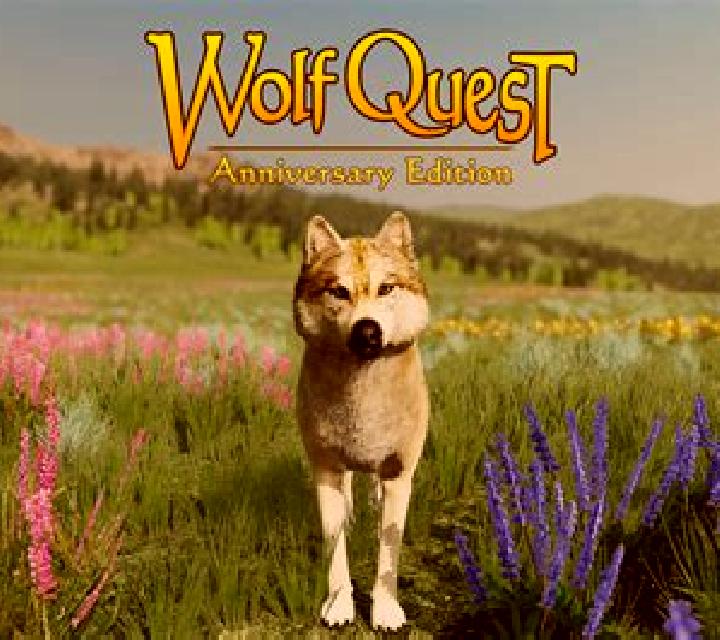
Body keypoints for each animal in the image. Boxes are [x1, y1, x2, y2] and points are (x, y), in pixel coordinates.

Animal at [293, 212, 430, 631]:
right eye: (338, 291)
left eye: (386, 288)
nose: (367, 330)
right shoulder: (325, 468)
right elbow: (334, 548)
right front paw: (338, 605)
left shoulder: (399, 471)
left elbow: (389, 551)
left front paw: (386, 612)